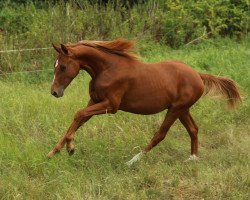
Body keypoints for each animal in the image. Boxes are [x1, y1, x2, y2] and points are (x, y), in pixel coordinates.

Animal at [47, 38, 241, 165]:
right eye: (55, 66)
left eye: (63, 66)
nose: (54, 92)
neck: (108, 68)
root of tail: (198, 75)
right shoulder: (94, 102)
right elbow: (78, 119)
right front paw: (53, 153)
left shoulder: (111, 105)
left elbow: (78, 114)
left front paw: (70, 148)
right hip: (182, 109)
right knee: (193, 129)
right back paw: (192, 158)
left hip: (176, 109)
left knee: (160, 134)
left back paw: (132, 161)